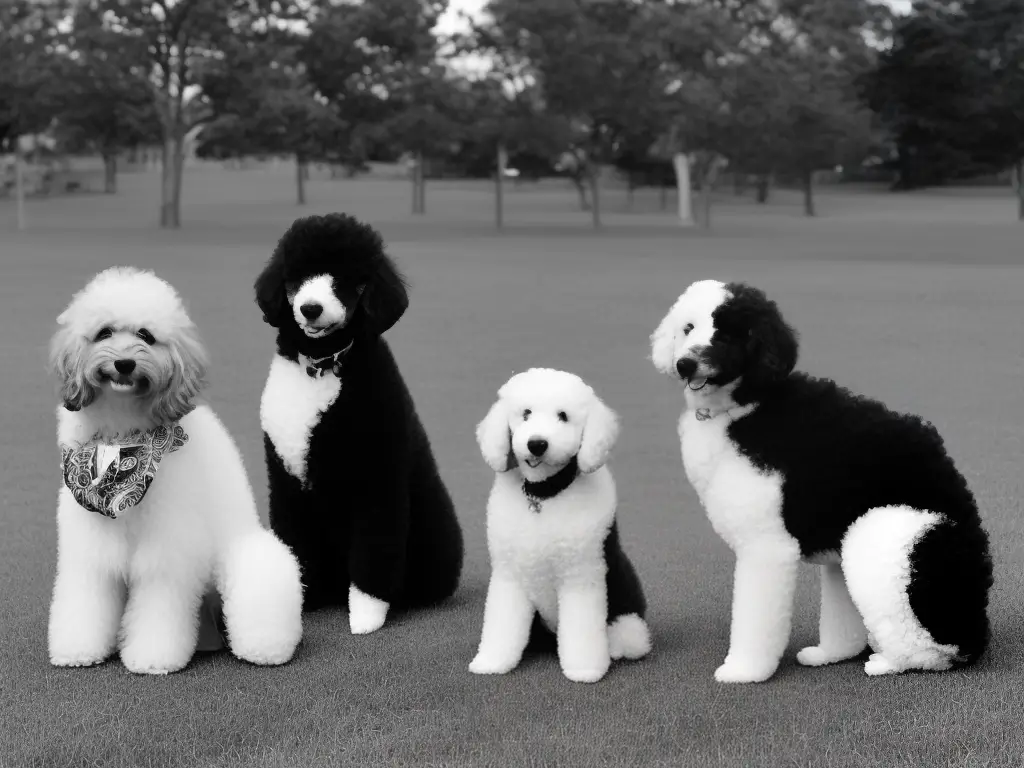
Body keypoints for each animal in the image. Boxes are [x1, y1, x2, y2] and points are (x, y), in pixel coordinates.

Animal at [48, 268, 303, 671]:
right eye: (104, 332)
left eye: (146, 336)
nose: (124, 363)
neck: (123, 438)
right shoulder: (91, 549)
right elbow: (86, 599)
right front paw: (78, 649)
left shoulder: (167, 554)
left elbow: (158, 610)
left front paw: (153, 657)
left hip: (250, 562)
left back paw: (264, 649)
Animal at [256, 214, 464, 634]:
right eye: (296, 275)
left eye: (346, 278)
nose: (311, 308)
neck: (319, 366)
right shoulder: (285, 476)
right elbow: (296, 544)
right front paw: (298, 601)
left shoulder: (376, 479)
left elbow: (374, 550)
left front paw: (366, 617)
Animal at [468, 370, 647, 684]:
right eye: (525, 413)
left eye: (563, 416)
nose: (537, 444)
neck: (543, 496)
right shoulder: (509, 573)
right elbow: (502, 622)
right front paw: (492, 661)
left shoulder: (581, 575)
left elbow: (581, 628)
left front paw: (585, 669)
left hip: (627, 614)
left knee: (630, 638)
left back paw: (614, 649)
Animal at [647, 280, 991, 684]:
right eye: (688, 328)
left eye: (728, 334)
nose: (684, 363)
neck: (746, 405)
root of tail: (975, 634)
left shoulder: (766, 547)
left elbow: (755, 617)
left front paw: (745, 670)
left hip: (889, 534)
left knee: (931, 649)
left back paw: (889, 662)